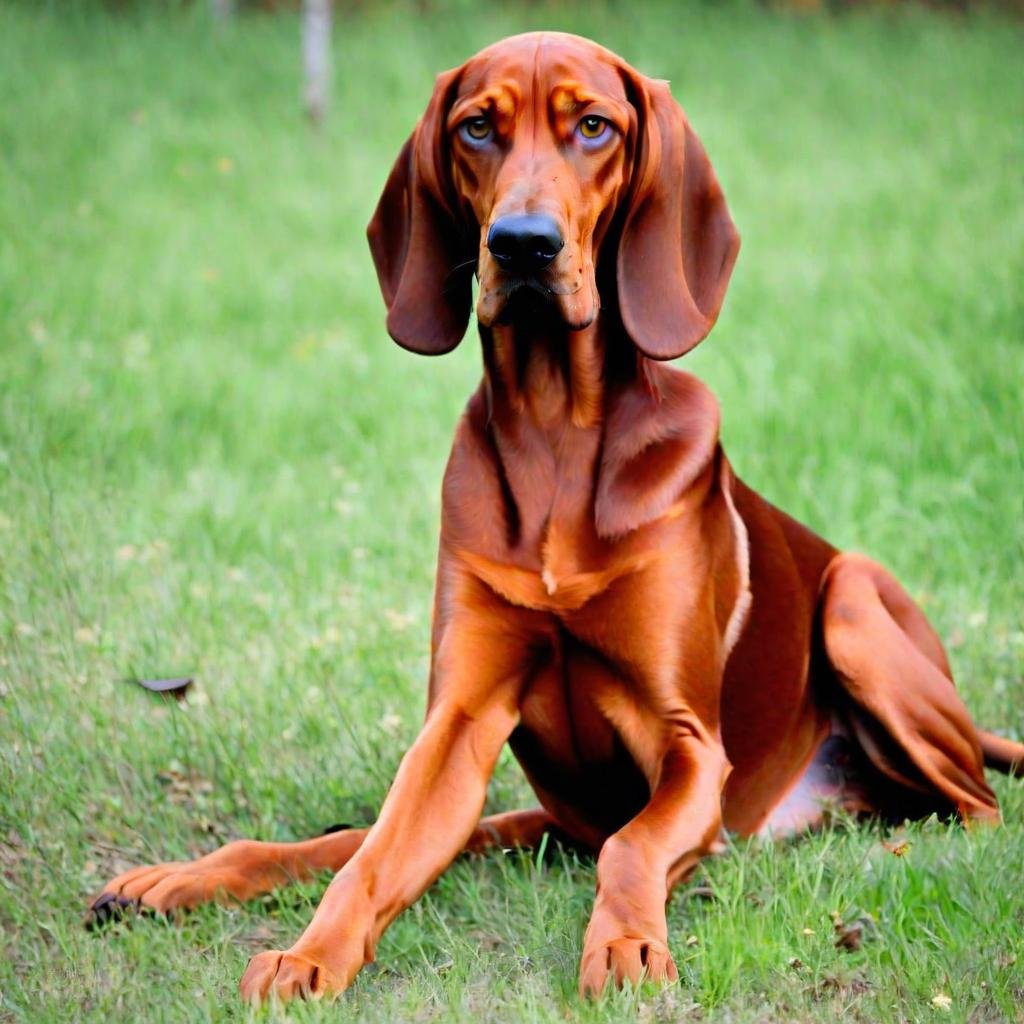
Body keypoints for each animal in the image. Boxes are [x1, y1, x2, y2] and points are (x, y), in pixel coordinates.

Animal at [90, 29, 1024, 999]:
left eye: (593, 126)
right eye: (475, 128)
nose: (522, 245)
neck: (555, 432)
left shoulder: (691, 745)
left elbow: (632, 845)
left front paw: (624, 943)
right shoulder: (459, 725)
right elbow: (371, 855)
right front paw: (311, 955)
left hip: (852, 601)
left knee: (976, 808)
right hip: (545, 820)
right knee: (351, 841)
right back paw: (173, 880)